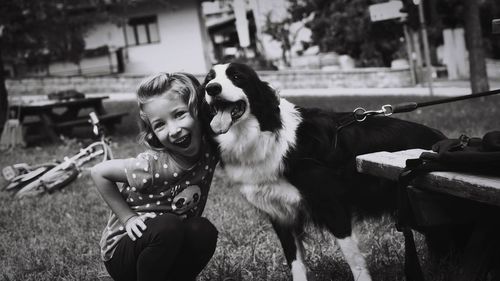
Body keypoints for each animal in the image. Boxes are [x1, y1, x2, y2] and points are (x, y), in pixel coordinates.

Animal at [201, 62, 444, 278]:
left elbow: (354, 259)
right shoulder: (281, 214)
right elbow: (295, 263)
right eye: (208, 79)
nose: (211, 88)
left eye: (237, 77)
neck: (262, 133)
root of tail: (439, 138)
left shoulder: (331, 204)